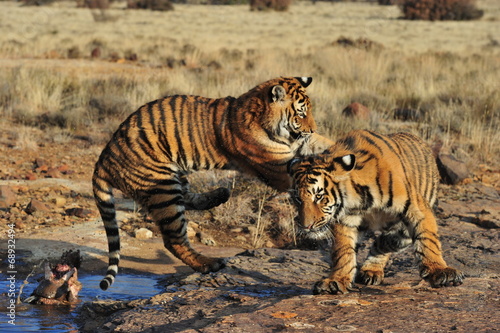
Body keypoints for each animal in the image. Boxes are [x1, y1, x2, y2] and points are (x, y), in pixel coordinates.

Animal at [94, 76, 336, 290]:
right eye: (301, 112)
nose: (312, 129)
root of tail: (104, 157)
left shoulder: (301, 145)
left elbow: (326, 146)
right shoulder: (279, 166)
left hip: (174, 177)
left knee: (188, 199)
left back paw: (219, 195)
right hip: (163, 189)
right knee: (174, 239)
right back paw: (210, 263)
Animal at [290, 129, 464, 294]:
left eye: (319, 196)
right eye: (298, 199)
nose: (306, 226)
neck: (359, 199)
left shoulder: (416, 209)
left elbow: (428, 240)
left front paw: (441, 271)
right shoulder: (345, 220)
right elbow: (343, 251)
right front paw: (336, 280)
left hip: (404, 232)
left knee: (387, 241)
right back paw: (370, 271)